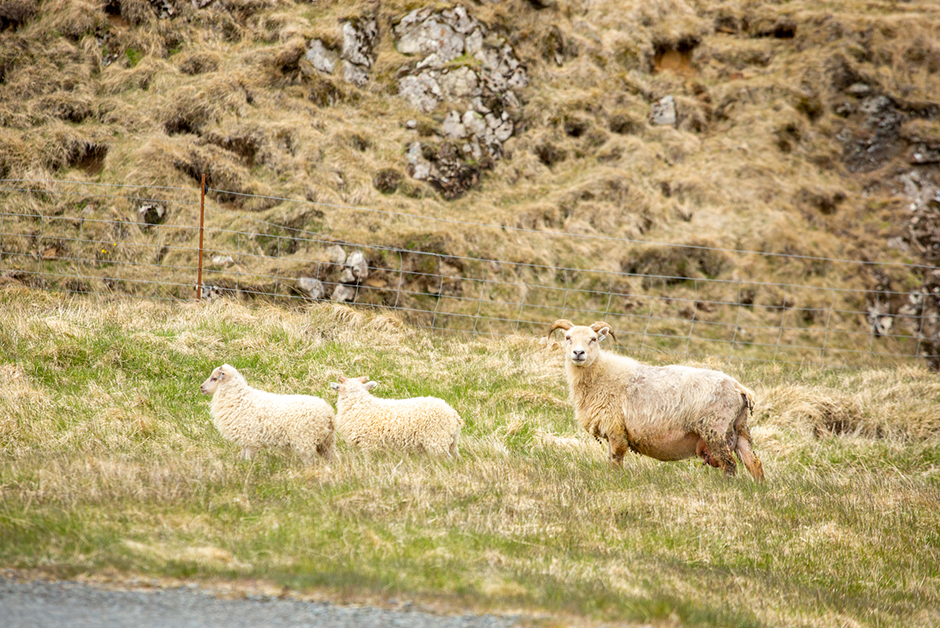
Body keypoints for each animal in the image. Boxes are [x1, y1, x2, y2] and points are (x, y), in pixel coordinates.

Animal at [196, 366, 336, 464]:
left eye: (214, 378)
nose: (201, 387)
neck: (239, 398)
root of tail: (328, 412)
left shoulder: (251, 440)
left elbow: (248, 459)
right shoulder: (245, 440)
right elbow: (243, 458)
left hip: (305, 440)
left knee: (310, 461)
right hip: (326, 442)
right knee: (331, 458)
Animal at [552, 318, 764, 480]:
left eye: (593, 339)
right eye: (568, 338)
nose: (578, 353)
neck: (600, 374)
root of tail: (739, 387)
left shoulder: (616, 428)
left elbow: (615, 460)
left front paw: (614, 481)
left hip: (714, 429)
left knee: (729, 464)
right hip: (739, 428)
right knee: (754, 462)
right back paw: (758, 488)